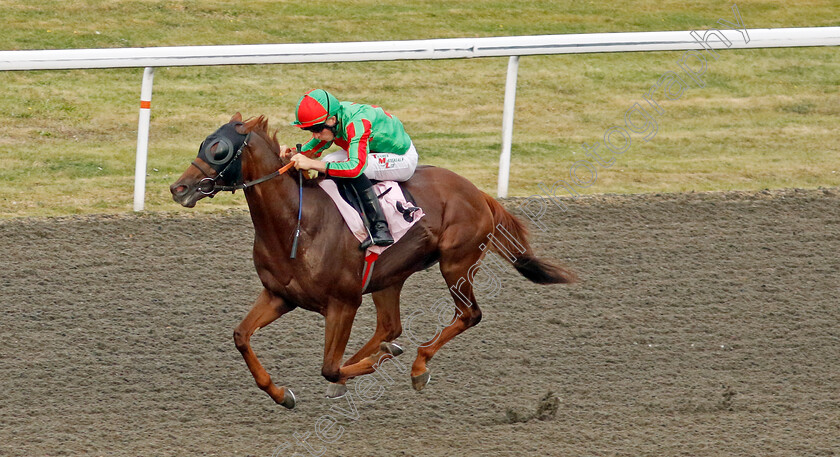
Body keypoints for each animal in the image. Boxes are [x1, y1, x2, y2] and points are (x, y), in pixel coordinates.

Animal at [171, 114, 576, 406]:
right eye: (203, 142)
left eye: (220, 150)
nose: (179, 188)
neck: (296, 223)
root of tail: (478, 192)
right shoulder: (279, 295)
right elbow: (241, 336)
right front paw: (281, 394)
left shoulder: (343, 303)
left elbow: (330, 367)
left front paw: (376, 364)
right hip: (389, 277)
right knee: (390, 327)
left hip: (456, 263)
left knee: (467, 315)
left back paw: (417, 364)